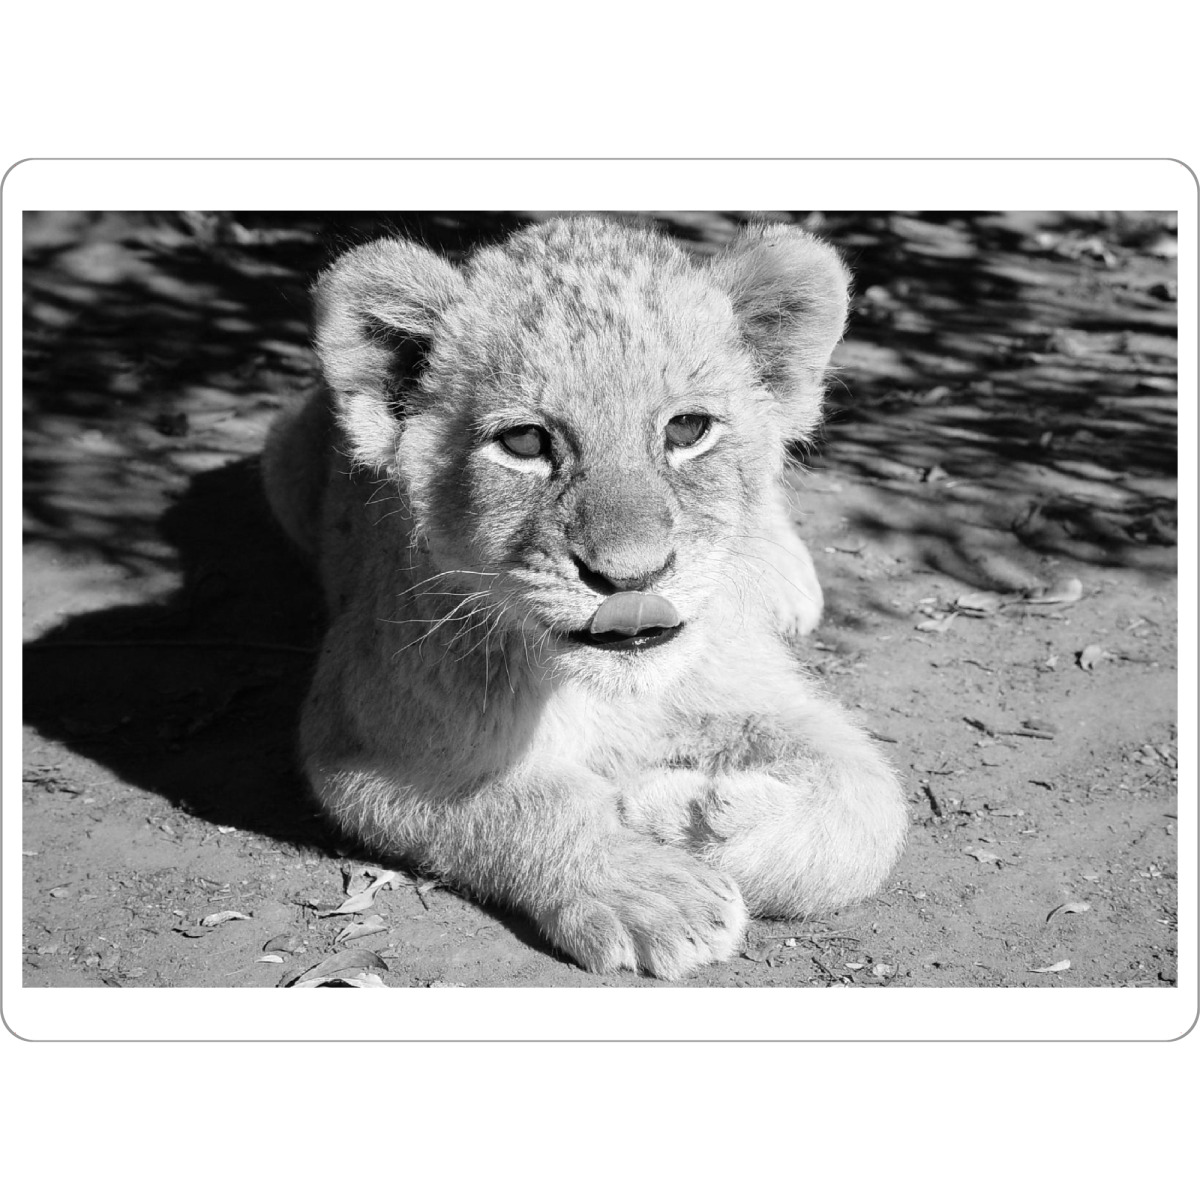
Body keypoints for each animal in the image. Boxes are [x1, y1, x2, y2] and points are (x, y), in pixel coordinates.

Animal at [263, 216, 907, 980]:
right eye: (524, 442)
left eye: (687, 430)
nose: (631, 578)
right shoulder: (357, 740)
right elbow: (518, 801)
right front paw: (655, 890)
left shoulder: (763, 691)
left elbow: (872, 810)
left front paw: (681, 811)